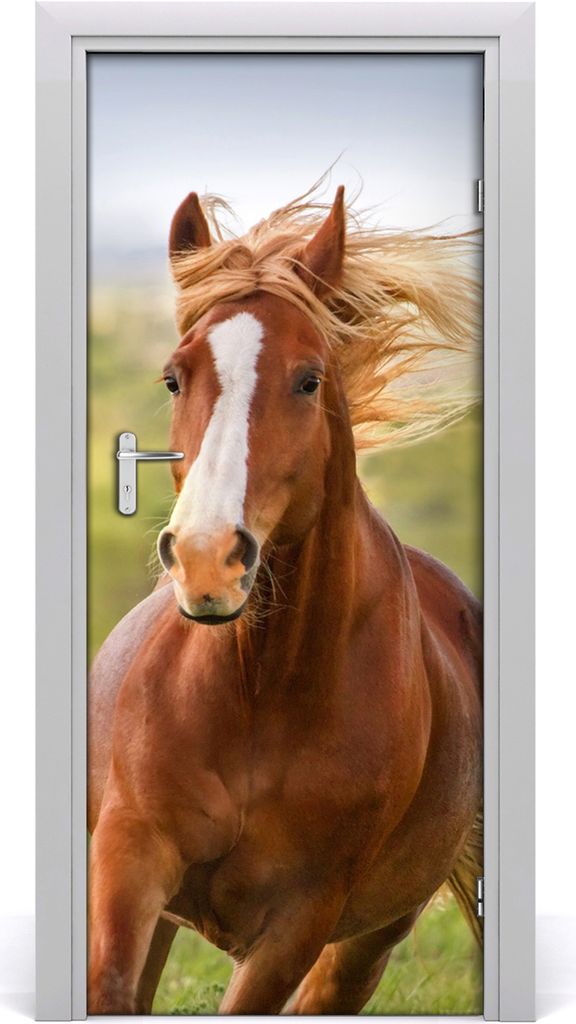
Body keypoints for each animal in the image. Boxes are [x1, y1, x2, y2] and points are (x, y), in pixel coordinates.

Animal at [88, 184, 483, 1015]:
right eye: (173, 377)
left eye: (308, 379)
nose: (207, 559)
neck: (260, 691)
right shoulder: (128, 862)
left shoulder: (301, 923)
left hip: (368, 942)